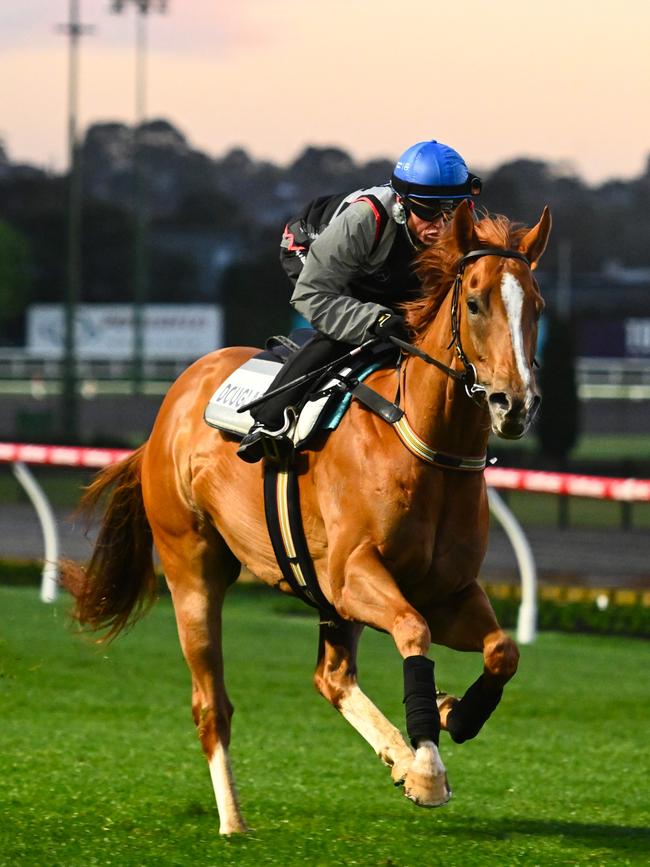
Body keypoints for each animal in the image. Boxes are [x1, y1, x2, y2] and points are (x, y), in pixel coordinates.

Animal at [63, 202, 548, 836]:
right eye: (474, 302)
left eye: (536, 305)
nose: (514, 403)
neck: (419, 441)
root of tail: (168, 409)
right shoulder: (354, 574)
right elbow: (413, 630)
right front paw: (427, 762)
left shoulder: (447, 590)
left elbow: (502, 651)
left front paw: (452, 716)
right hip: (192, 567)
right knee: (211, 703)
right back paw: (234, 822)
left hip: (323, 598)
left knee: (331, 677)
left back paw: (396, 755)